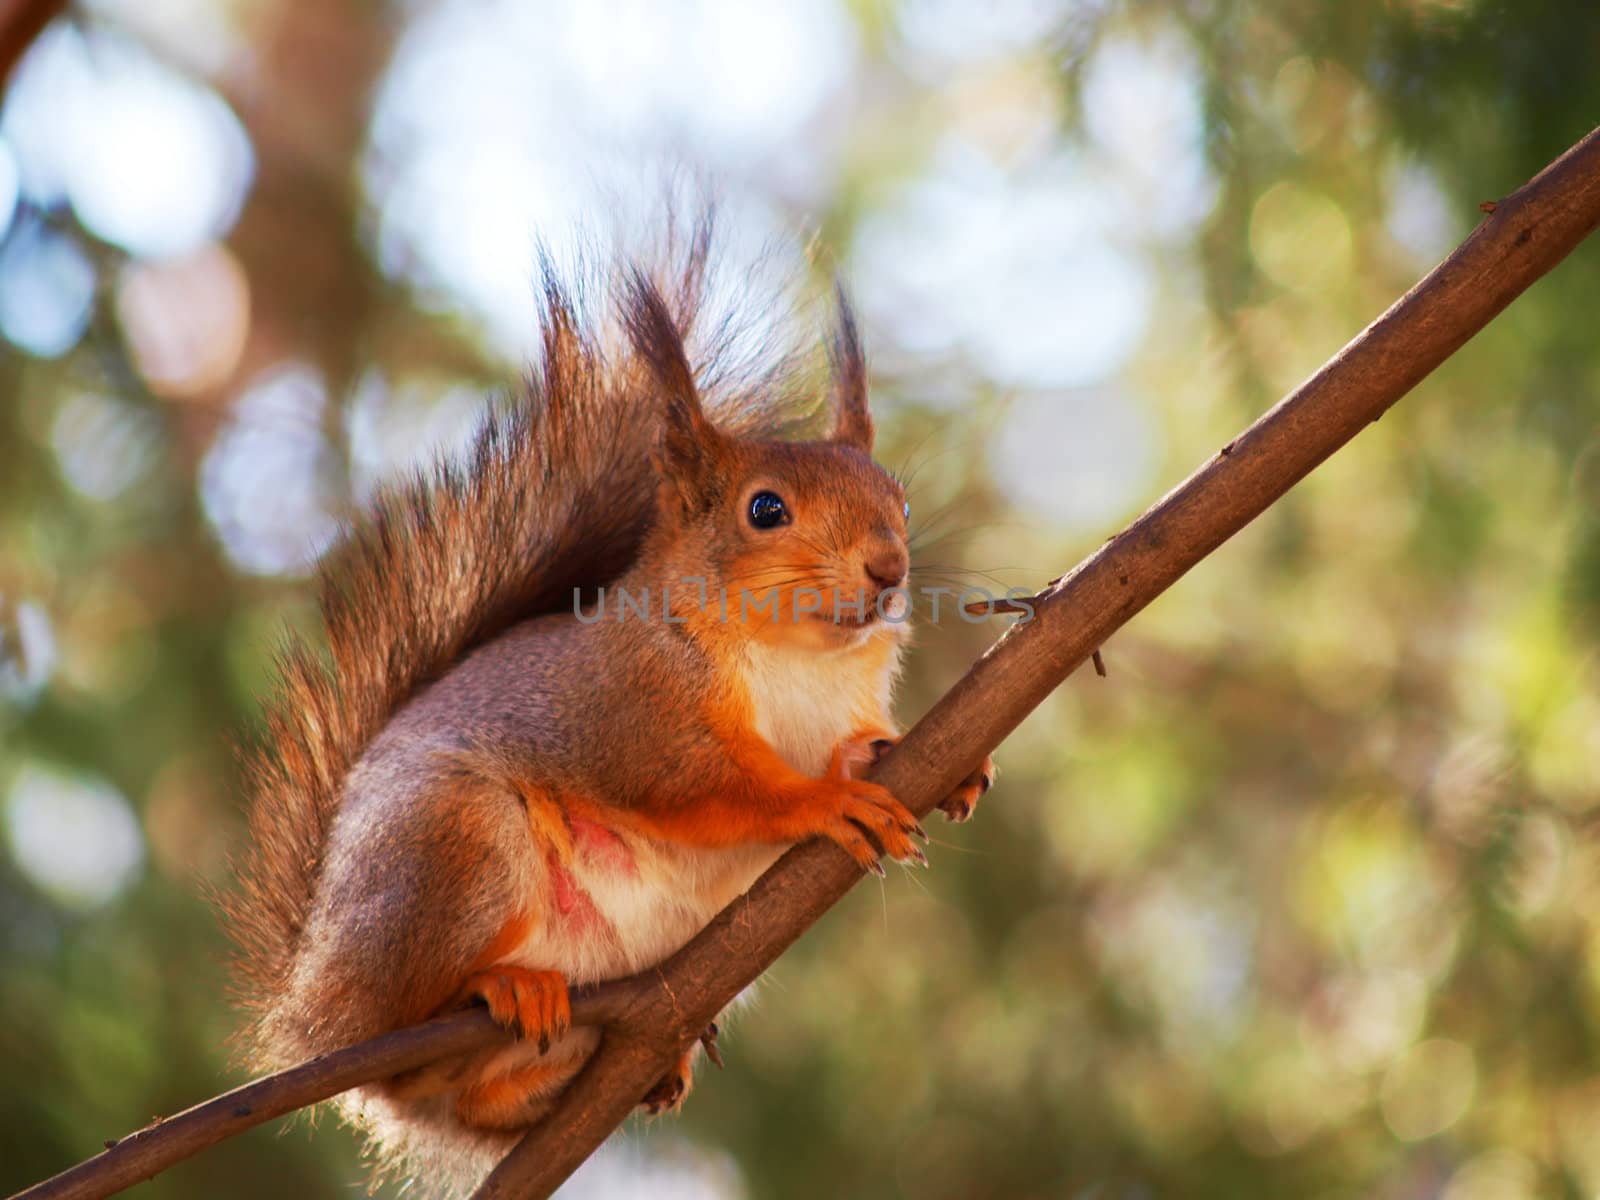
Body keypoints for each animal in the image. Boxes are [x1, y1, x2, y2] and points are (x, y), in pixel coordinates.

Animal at [222, 224, 998, 1196]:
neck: (799, 663)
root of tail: (313, 1012)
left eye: (900, 498)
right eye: (765, 509)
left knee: (468, 1102)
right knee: (404, 1035)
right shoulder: (635, 710)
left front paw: (917, 761)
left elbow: (854, 745)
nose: (890, 568)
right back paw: (497, 989)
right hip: (450, 844)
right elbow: (706, 787)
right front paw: (822, 800)